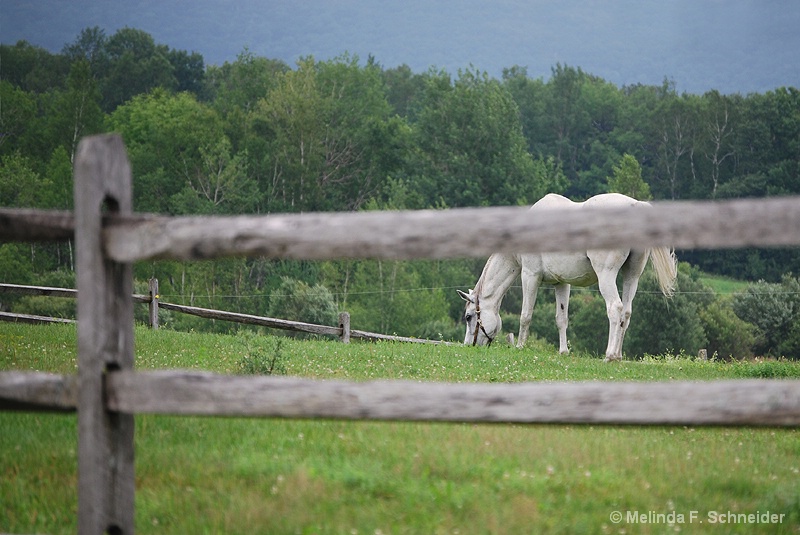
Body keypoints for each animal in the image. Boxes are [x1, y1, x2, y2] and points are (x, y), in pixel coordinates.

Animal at [460, 194, 680, 364]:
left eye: (469, 317)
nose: (469, 346)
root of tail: (634, 205)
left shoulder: (530, 276)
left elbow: (526, 315)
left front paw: (520, 346)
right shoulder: (562, 283)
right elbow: (561, 319)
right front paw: (563, 351)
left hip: (606, 275)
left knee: (615, 309)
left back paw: (609, 355)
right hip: (631, 276)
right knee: (626, 312)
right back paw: (617, 356)